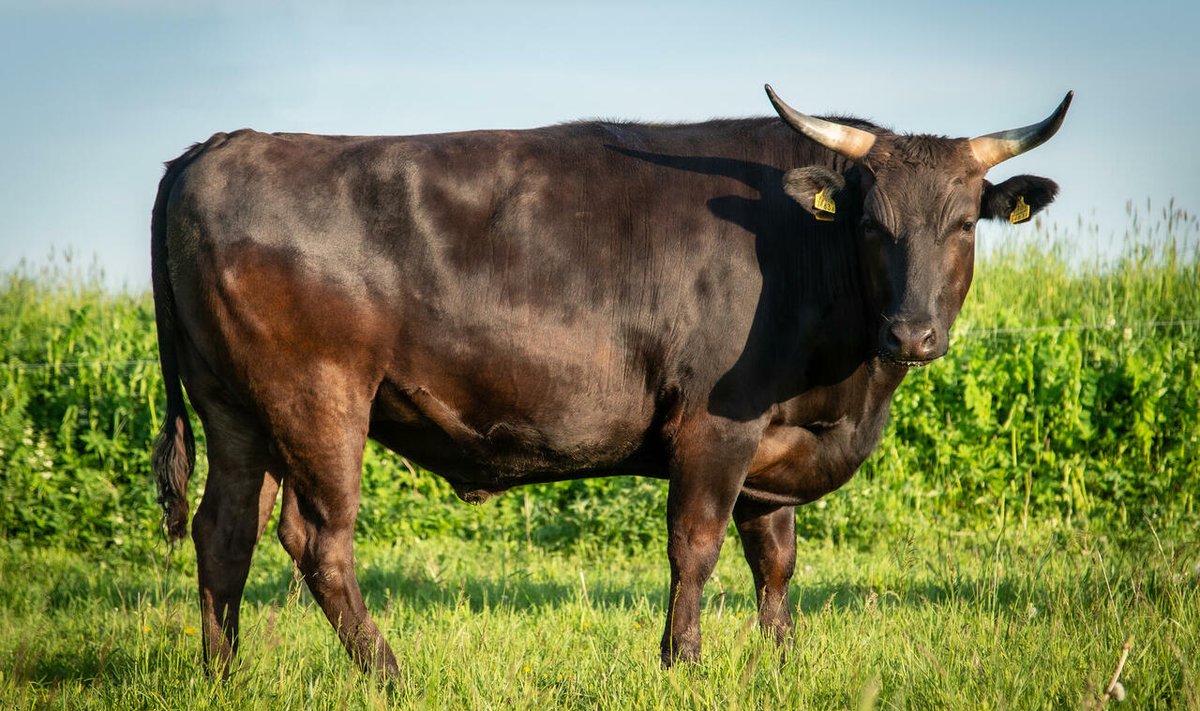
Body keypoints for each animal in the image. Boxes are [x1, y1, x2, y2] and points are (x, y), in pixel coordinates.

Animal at [147, 85, 1070, 672]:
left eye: (964, 223)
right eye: (874, 224)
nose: (913, 331)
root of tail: (216, 147)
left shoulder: (773, 444)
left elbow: (774, 560)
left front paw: (782, 663)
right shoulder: (716, 423)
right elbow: (695, 546)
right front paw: (681, 663)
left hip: (237, 410)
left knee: (223, 532)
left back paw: (222, 673)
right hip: (320, 399)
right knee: (317, 539)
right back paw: (388, 673)